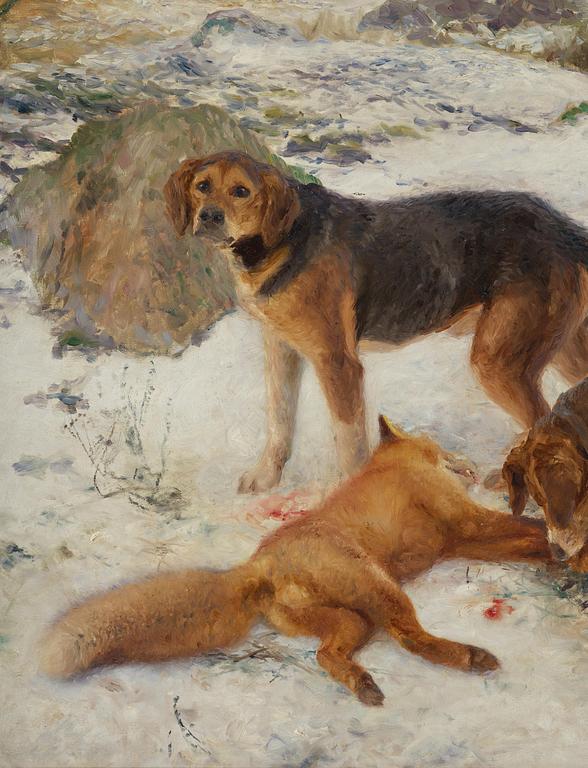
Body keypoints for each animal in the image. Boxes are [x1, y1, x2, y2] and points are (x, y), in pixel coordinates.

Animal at [40, 417, 584, 706]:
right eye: (437, 444)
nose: (472, 463)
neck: (395, 465)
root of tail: (256, 566)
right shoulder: (467, 524)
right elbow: (532, 531)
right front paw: (567, 552)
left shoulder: (460, 541)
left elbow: (532, 544)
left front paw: (561, 560)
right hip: (382, 593)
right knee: (410, 639)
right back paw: (471, 658)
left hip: (352, 622)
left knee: (325, 655)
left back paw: (361, 685)